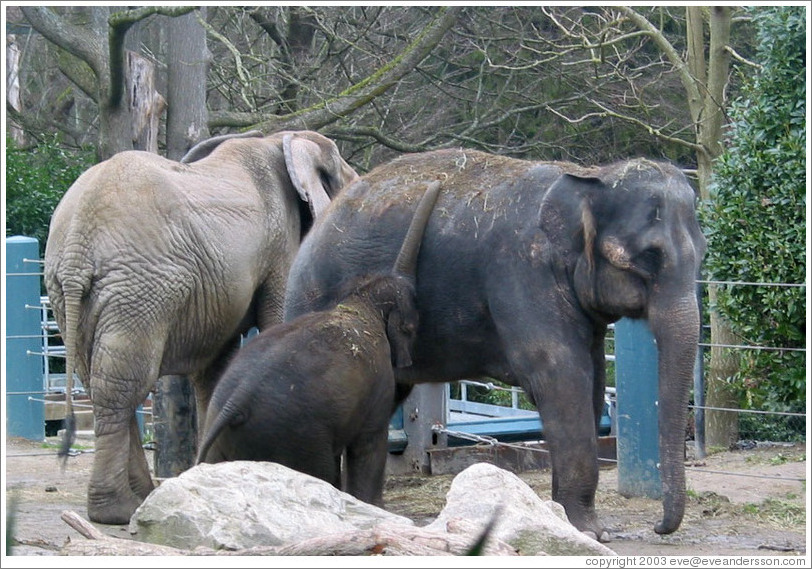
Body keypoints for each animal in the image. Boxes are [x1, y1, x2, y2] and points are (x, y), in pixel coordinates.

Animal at [43, 130, 359, 524]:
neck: (282, 139)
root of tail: (76, 244)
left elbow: (216, 368)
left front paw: (210, 473)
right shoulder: (280, 245)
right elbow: (274, 323)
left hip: (70, 291)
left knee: (101, 379)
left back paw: (139, 497)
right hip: (140, 288)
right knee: (124, 383)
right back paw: (117, 511)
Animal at [196, 181, 442, 505]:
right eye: (411, 328)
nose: (438, 185)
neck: (363, 300)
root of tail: (234, 402)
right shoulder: (376, 392)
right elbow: (369, 446)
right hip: (297, 436)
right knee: (319, 471)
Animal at [284, 149, 706, 540]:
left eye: (702, 253)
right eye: (648, 257)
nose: (658, 528)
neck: (589, 177)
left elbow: (593, 378)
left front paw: (574, 522)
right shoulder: (520, 271)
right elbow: (559, 374)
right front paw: (587, 532)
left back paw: (369, 509)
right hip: (317, 297)